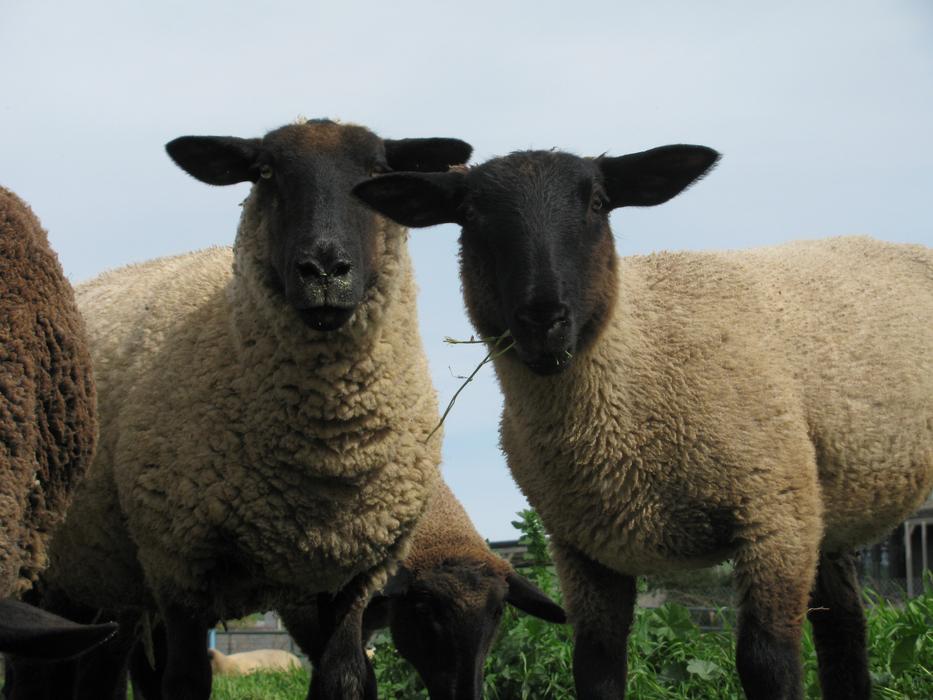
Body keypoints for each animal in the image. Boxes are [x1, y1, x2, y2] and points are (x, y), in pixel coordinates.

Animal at [11, 119, 471, 700]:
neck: (327, 454)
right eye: (266, 172)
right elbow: (184, 682)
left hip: (109, 579)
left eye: (376, 172)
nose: (324, 269)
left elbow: (346, 677)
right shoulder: (179, 563)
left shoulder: (352, 579)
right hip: (55, 564)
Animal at [352, 147, 933, 700]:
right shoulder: (583, 550)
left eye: (597, 202)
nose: (544, 318)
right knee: (845, 630)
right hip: (826, 512)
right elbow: (596, 669)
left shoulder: (774, 517)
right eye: (469, 213)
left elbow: (767, 664)